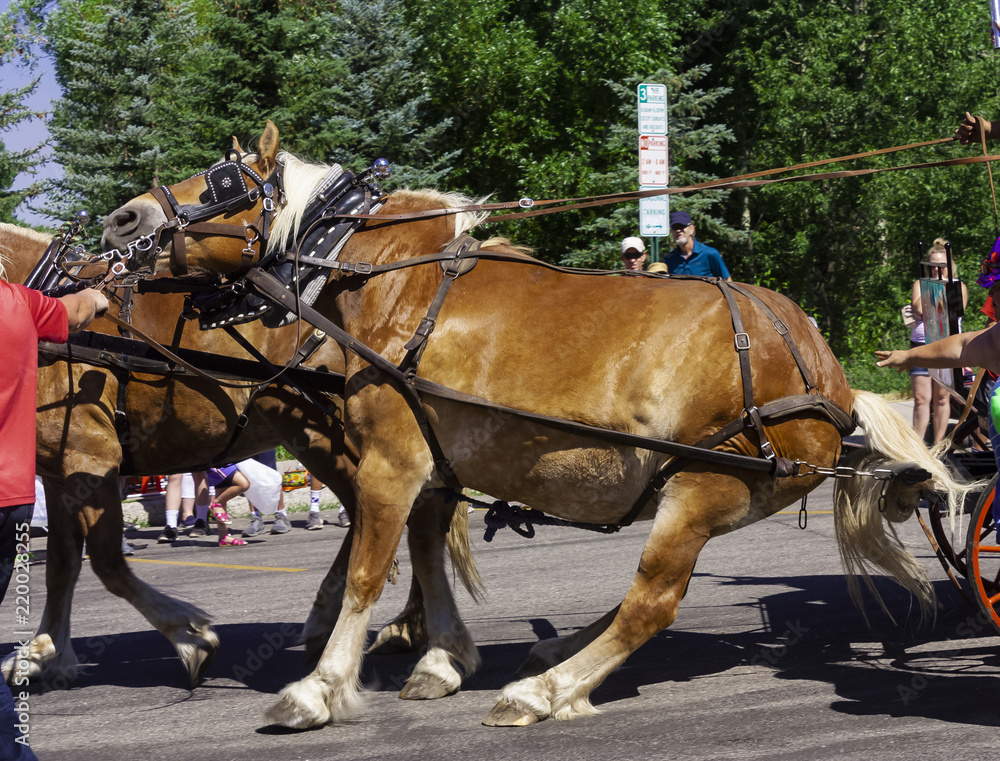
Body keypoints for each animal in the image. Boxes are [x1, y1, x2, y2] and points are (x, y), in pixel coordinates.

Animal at [0, 223, 480, 692]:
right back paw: (402, 627)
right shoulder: (60, 474)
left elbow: (107, 563)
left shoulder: (92, 458)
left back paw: (389, 627)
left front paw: (190, 638)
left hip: (320, 432)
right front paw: (42, 652)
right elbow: (61, 567)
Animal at [99, 121, 968, 728]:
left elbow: (368, 570)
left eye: (223, 180)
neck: (400, 286)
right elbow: (425, 557)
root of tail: (821, 368)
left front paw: (318, 688)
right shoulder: (435, 465)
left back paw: (545, 688)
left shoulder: (391, 459)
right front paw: (443, 658)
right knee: (640, 600)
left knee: (653, 601)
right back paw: (556, 652)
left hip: (702, 486)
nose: (120, 220)